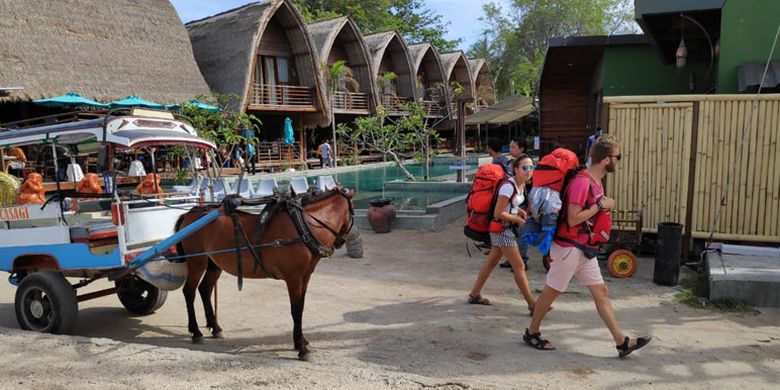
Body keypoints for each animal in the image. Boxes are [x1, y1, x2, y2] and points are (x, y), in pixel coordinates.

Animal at [175, 187, 354, 362]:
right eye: (352, 215)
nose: (341, 242)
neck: (303, 226)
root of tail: (190, 213)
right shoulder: (294, 278)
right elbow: (296, 310)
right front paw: (301, 348)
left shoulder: (305, 277)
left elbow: (301, 308)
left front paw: (301, 341)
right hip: (197, 262)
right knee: (189, 291)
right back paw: (196, 332)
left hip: (213, 264)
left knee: (205, 290)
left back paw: (215, 328)